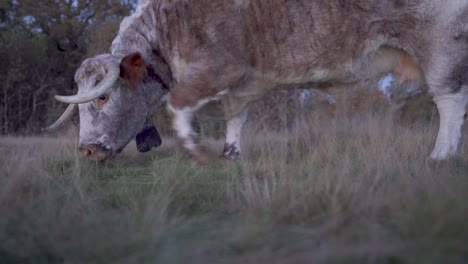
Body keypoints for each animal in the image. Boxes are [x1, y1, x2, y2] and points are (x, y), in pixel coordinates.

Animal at [45, 0, 468, 163]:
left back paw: (441, 155)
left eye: (102, 98)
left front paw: (196, 149)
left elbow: (180, 103)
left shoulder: (218, 68)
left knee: (449, 99)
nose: (86, 151)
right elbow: (237, 116)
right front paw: (231, 154)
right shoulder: (243, 85)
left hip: (441, 42)